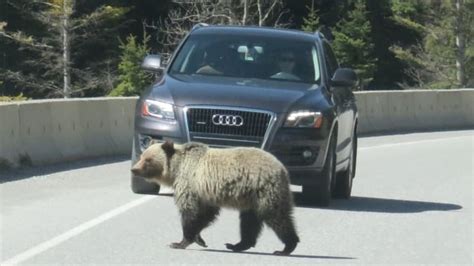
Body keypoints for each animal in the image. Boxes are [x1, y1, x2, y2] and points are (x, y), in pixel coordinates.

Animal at [131, 140, 298, 255]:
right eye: (141, 156)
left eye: (148, 159)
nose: (134, 169)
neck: (176, 169)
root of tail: (282, 168)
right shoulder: (204, 193)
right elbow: (205, 215)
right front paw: (199, 239)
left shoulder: (190, 184)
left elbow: (190, 212)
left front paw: (179, 242)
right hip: (251, 197)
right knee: (249, 221)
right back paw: (237, 245)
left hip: (264, 189)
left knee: (276, 216)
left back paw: (286, 247)